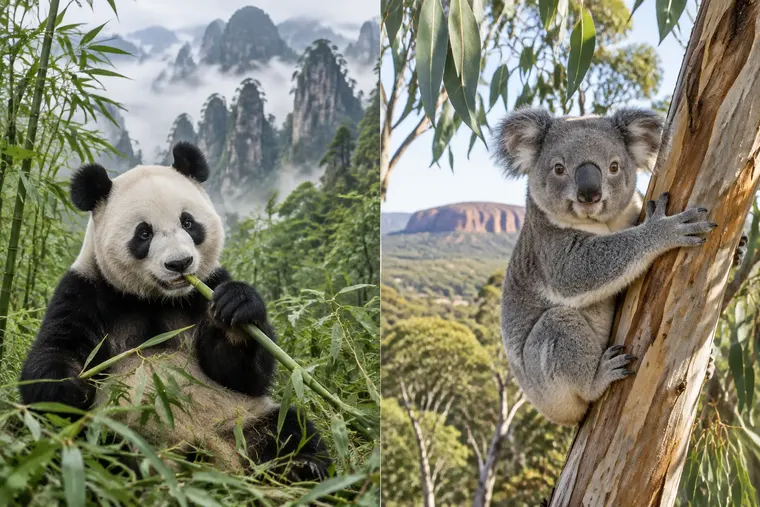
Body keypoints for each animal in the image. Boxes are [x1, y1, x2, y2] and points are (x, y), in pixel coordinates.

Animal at [18, 142, 330, 481]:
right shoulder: (87, 291)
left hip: (242, 416)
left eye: (188, 222)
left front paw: (236, 309)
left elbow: (240, 374)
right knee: (101, 448)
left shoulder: (206, 287)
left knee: (288, 428)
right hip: (120, 429)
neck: (157, 299)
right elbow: (56, 350)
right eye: (143, 233)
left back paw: (303, 467)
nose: (180, 263)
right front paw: (67, 387)